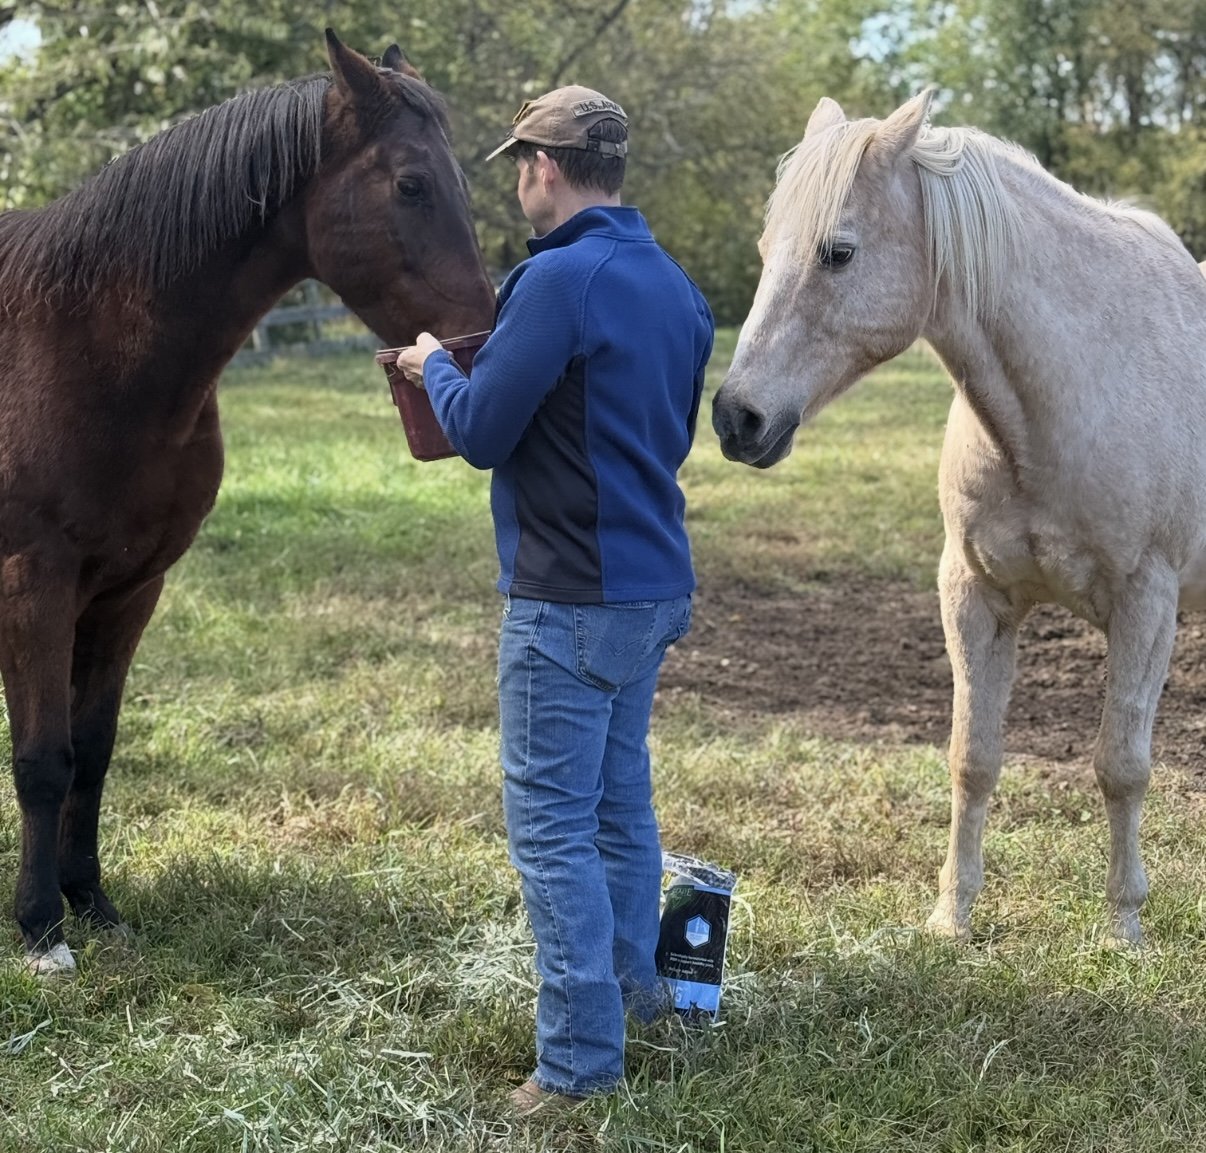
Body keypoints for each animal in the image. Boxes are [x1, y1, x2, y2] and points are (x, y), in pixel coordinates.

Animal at [0, 30, 496, 974]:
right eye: (412, 185)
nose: (480, 343)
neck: (76, 344)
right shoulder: (33, 587)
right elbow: (43, 758)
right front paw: (42, 928)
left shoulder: (128, 591)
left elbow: (93, 751)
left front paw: (92, 903)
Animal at [712, 89, 1206, 945]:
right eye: (768, 246)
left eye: (837, 252)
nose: (736, 417)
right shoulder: (975, 595)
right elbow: (972, 757)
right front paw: (953, 915)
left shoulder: (1147, 602)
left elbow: (1122, 765)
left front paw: (1123, 925)